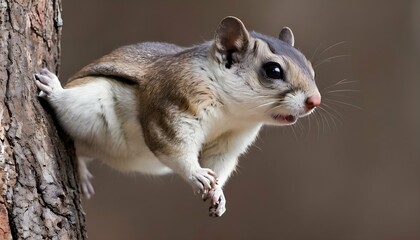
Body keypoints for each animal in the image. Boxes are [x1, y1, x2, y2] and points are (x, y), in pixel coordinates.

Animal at [34, 15, 320, 217]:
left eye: (310, 67)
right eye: (273, 70)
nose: (314, 101)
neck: (232, 111)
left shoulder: (231, 140)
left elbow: (220, 163)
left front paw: (218, 194)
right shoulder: (174, 106)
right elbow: (175, 148)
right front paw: (197, 175)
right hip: (90, 101)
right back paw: (55, 90)